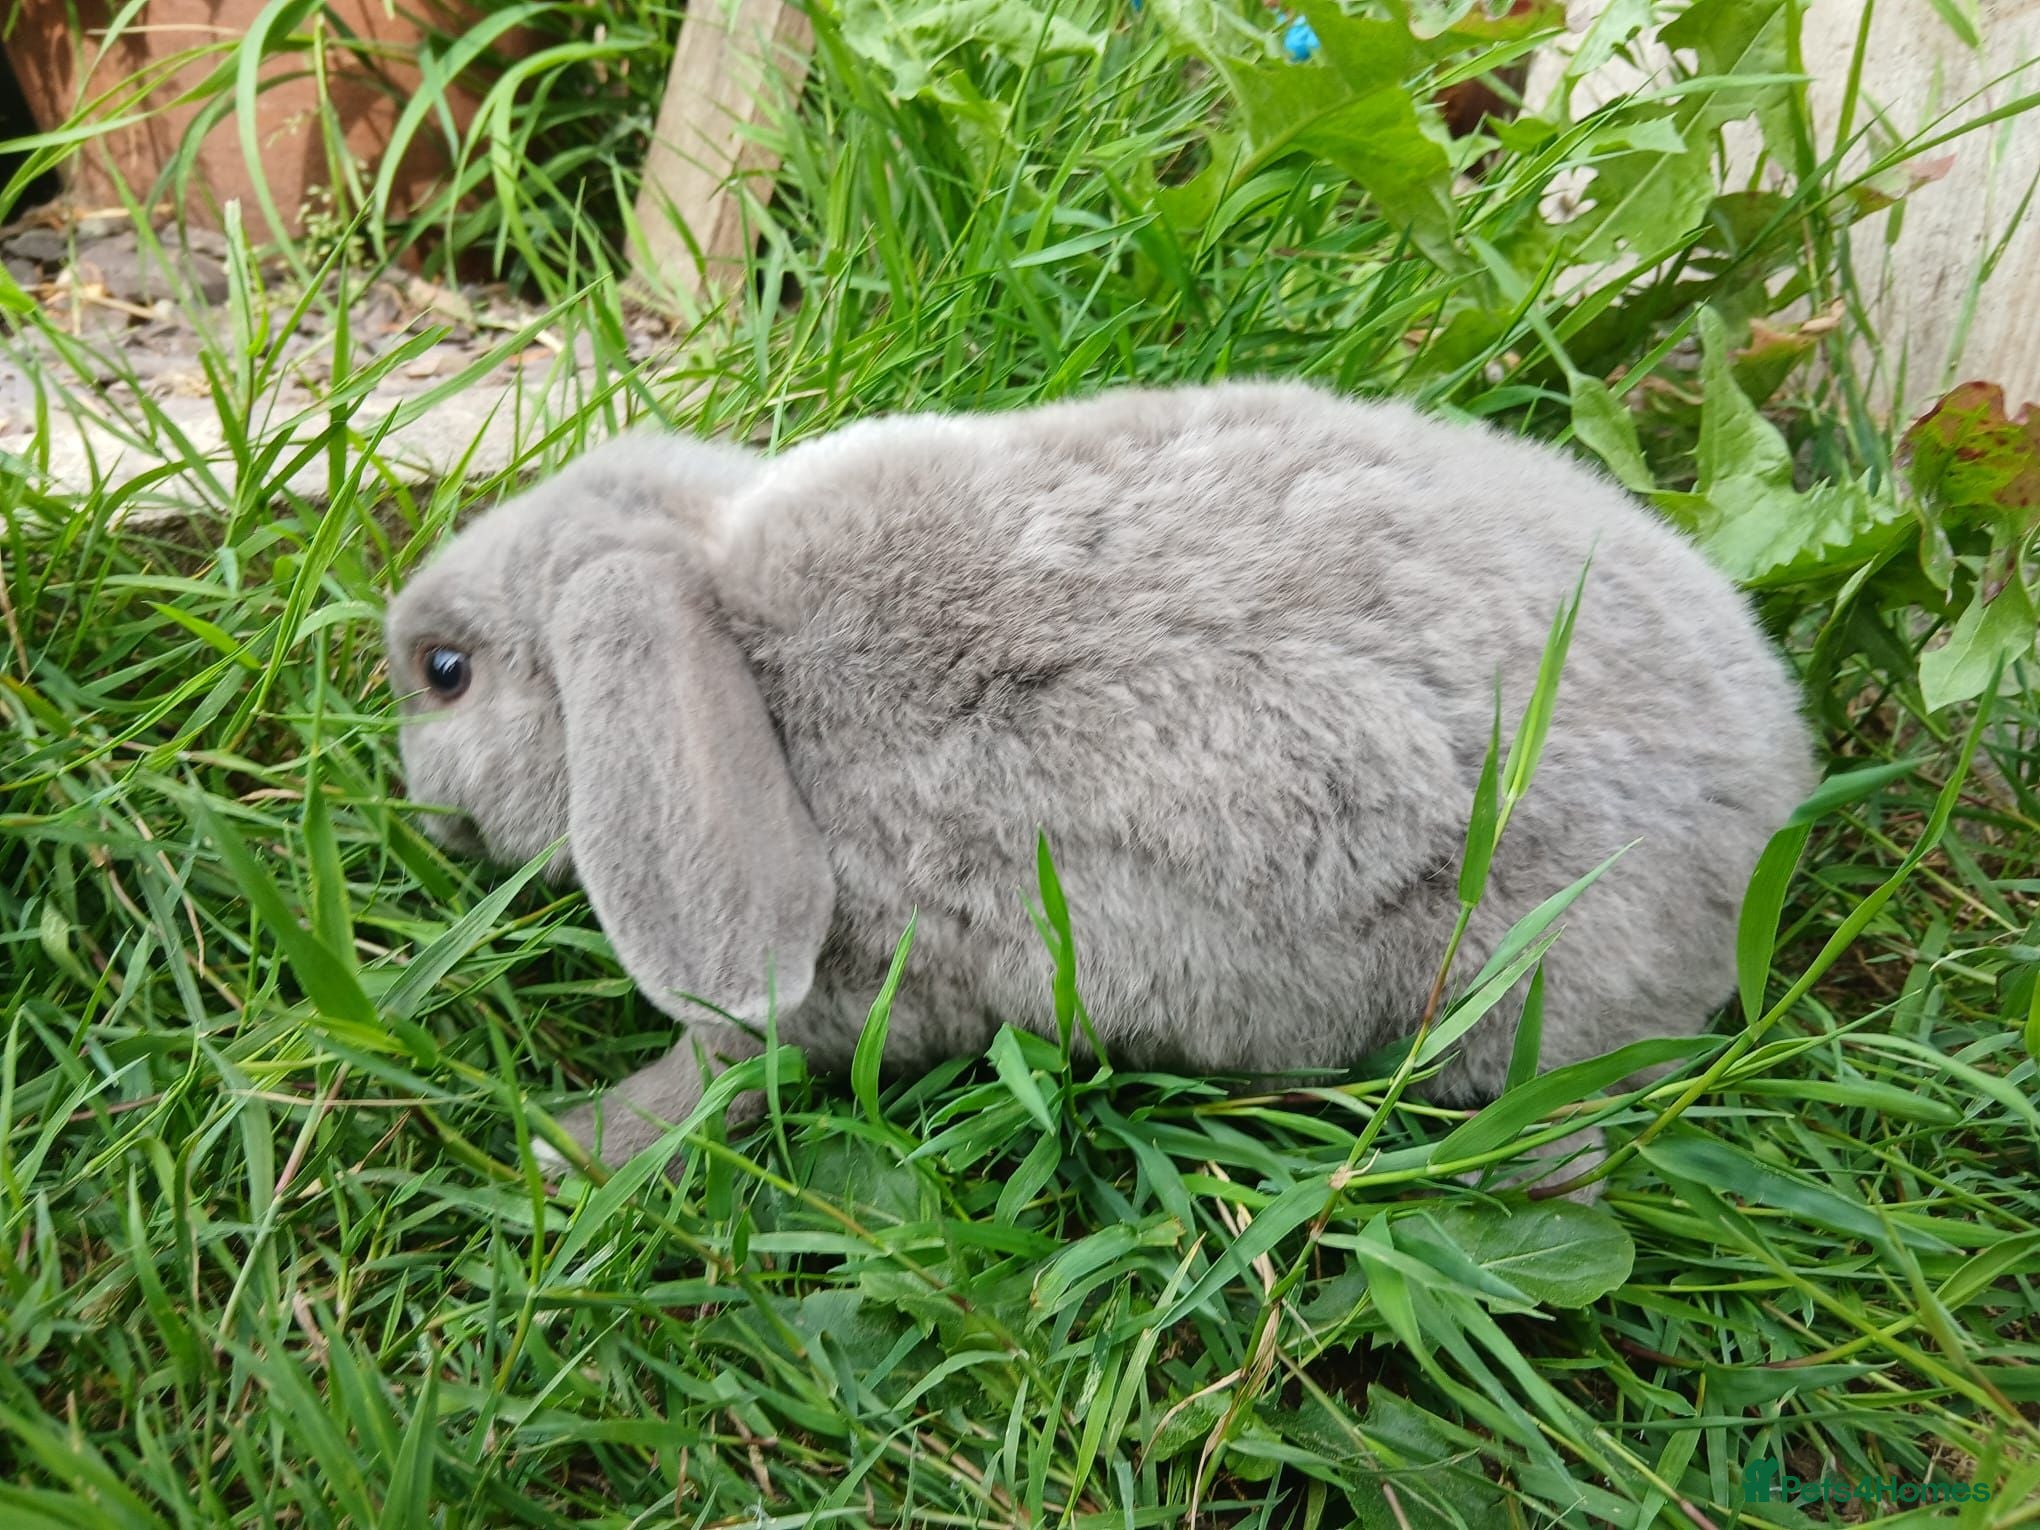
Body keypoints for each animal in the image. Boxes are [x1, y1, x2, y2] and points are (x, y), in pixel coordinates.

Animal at [384, 381, 1815, 1187]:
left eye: (445, 671)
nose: (421, 813)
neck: (751, 672)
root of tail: (1777, 789)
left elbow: (726, 1065)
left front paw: (563, 1147)